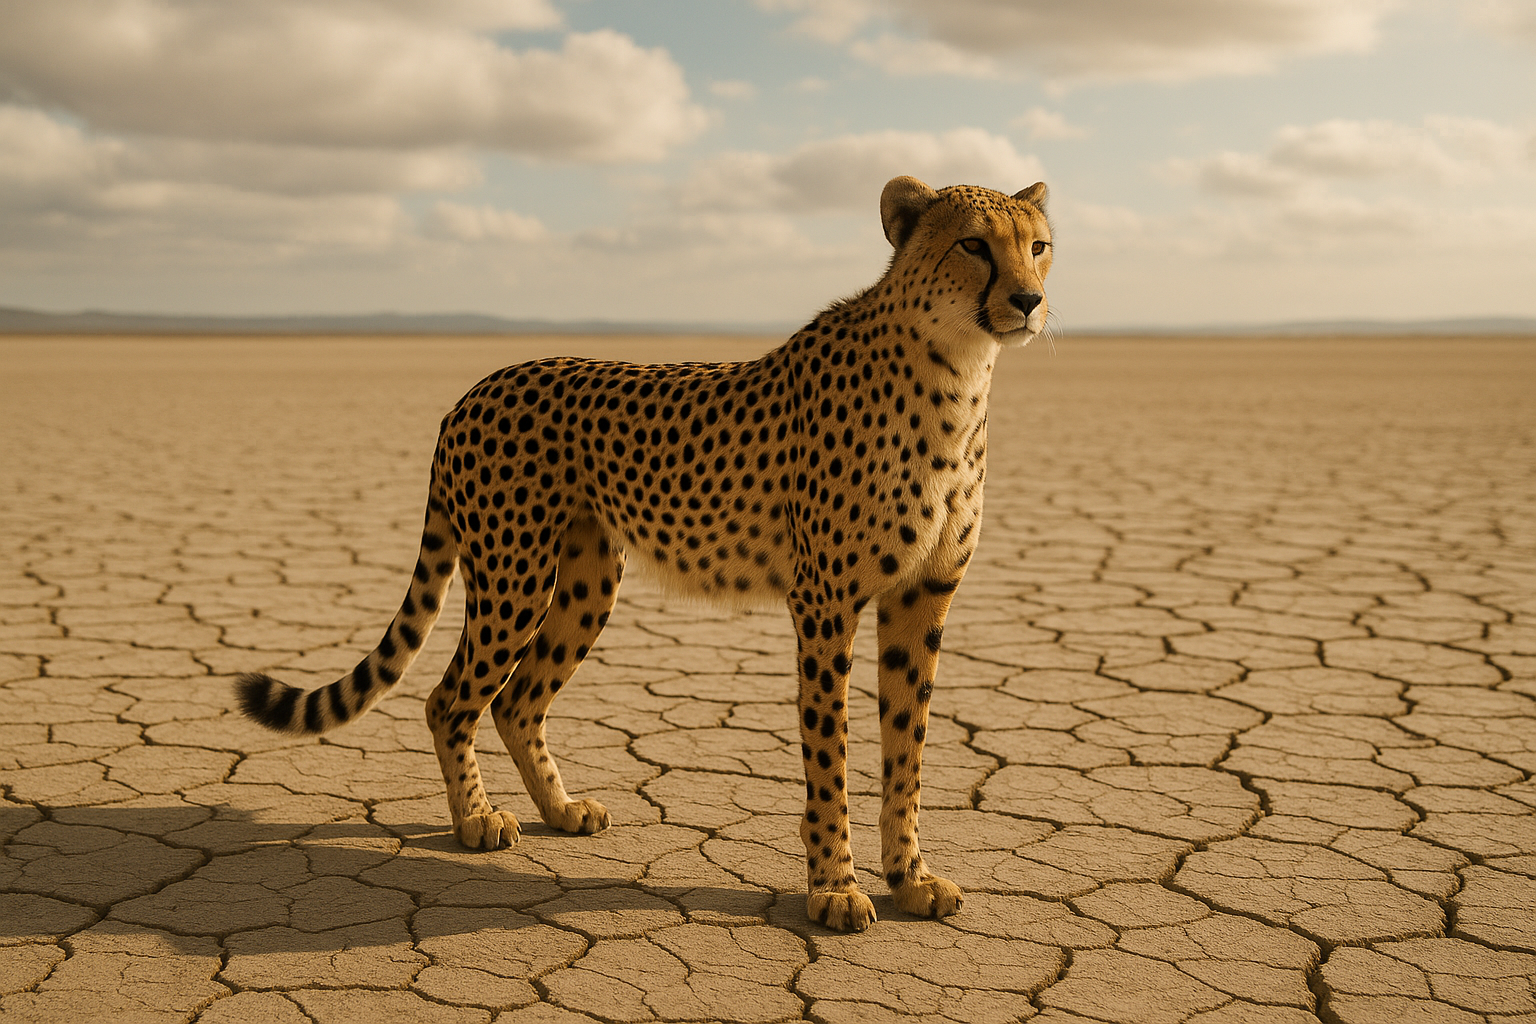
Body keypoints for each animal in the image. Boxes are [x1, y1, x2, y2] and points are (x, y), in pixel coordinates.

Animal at [235, 175, 1053, 932]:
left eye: (1038, 246)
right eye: (974, 245)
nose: (1029, 300)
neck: (956, 373)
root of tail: (474, 389)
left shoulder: (922, 599)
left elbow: (905, 750)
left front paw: (910, 877)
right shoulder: (825, 604)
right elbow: (832, 756)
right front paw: (834, 888)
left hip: (589, 582)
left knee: (516, 700)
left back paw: (560, 809)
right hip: (513, 576)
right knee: (451, 698)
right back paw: (476, 820)